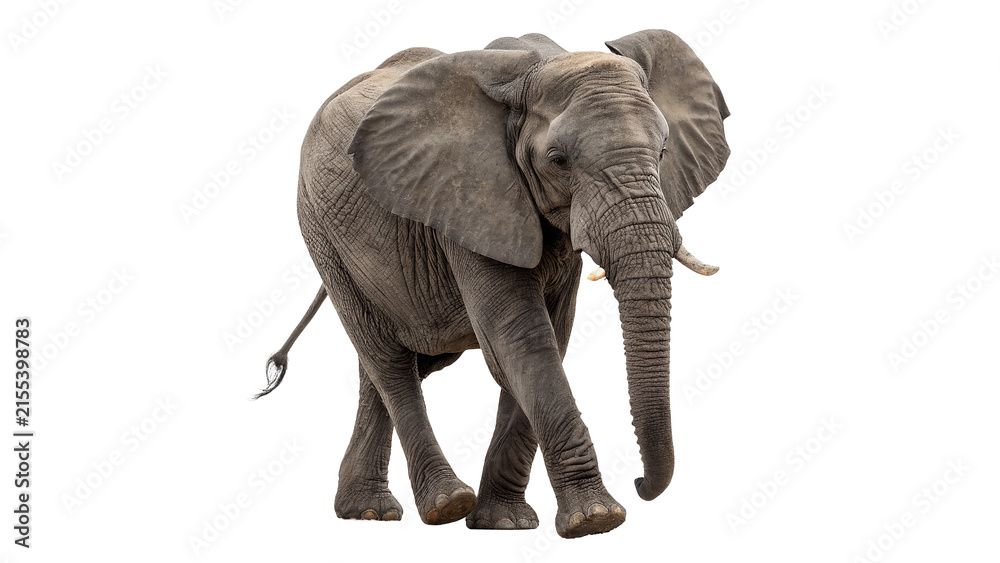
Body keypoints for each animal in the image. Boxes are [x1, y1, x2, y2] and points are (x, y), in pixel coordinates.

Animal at [256, 29, 731, 538]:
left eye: (662, 152)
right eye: (558, 160)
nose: (641, 482)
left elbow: (550, 339)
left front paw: (505, 523)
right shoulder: (468, 196)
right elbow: (521, 338)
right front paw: (596, 520)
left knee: (390, 365)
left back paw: (367, 512)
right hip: (322, 232)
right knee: (388, 362)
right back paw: (444, 505)